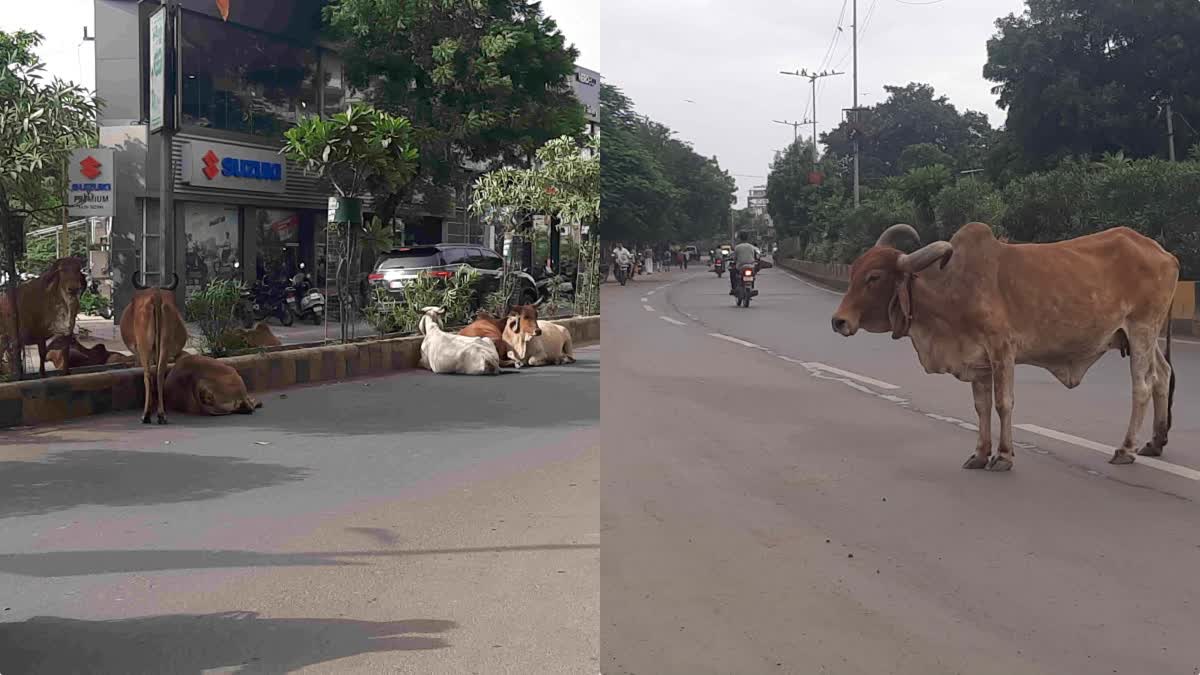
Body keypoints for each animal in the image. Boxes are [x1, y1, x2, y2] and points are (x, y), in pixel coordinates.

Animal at [121, 270, 189, 422]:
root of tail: (155, 297)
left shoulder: (138, 352)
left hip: (144, 347)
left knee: (147, 375)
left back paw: (146, 414)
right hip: (164, 346)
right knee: (159, 373)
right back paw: (161, 414)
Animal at [830, 223, 1176, 470]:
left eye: (874, 277)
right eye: (853, 271)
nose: (838, 321)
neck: (952, 290)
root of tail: (1165, 254)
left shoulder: (1002, 351)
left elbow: (1003, 403)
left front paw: (1004, 456)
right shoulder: (978, 360)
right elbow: (981, 407)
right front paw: (980, 454)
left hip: (1142, 329)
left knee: (1142, 386)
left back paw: (1126, 449)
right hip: (1141, 336)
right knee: (1163, 374)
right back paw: (1155, 442)